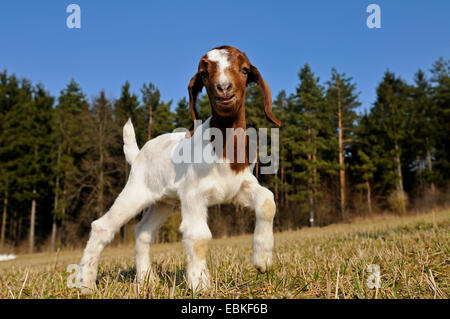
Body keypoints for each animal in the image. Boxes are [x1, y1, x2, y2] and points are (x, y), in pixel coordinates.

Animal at [77, 45, 282, 296]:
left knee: (143, 231)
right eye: (204, 74)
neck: (224, 146)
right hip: (135, 192)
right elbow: (198, 235)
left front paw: (262, 260)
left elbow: (268, 201)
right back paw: (86, 284)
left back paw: (147, 280)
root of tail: (138, 154)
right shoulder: (193, 194)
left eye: (244, 70)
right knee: (102, 226)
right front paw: (200, 283)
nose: (224, 88)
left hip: (163, 202)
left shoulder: (239, 186)